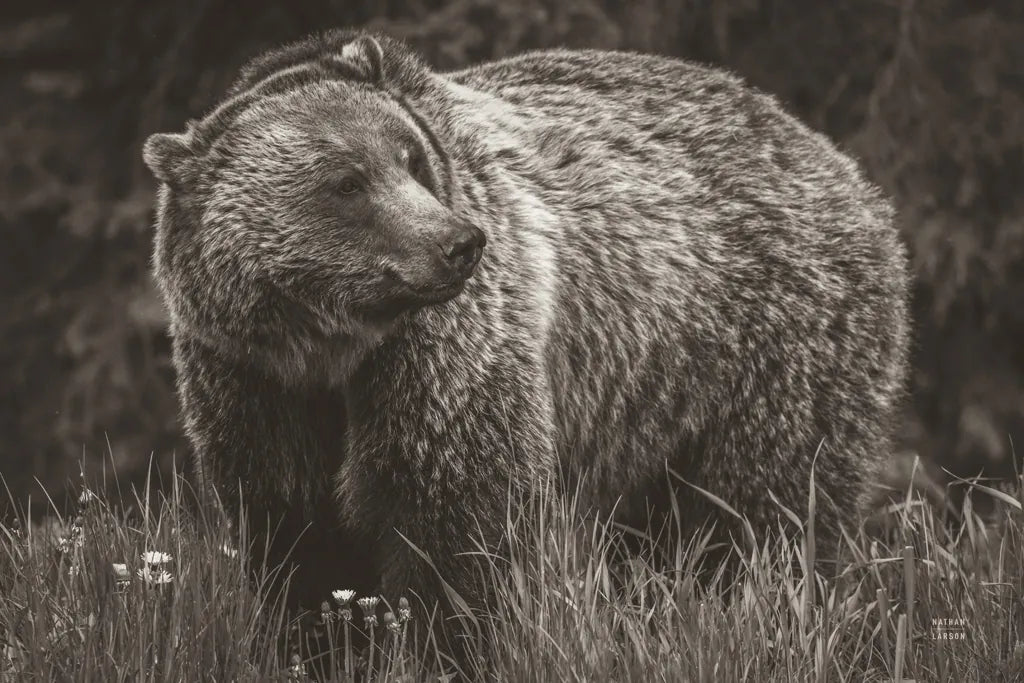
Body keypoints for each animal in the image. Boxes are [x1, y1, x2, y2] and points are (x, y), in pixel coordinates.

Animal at [142, 29, 910, 618]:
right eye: (346, 183)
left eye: (410, 158)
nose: (458, 243)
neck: (332, 345)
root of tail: (828, 154)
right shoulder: (249, 375)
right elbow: (293, 530)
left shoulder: (445, 359)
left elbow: (457, 518)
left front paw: (447, 631)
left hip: (770, 340)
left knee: (768, 505)